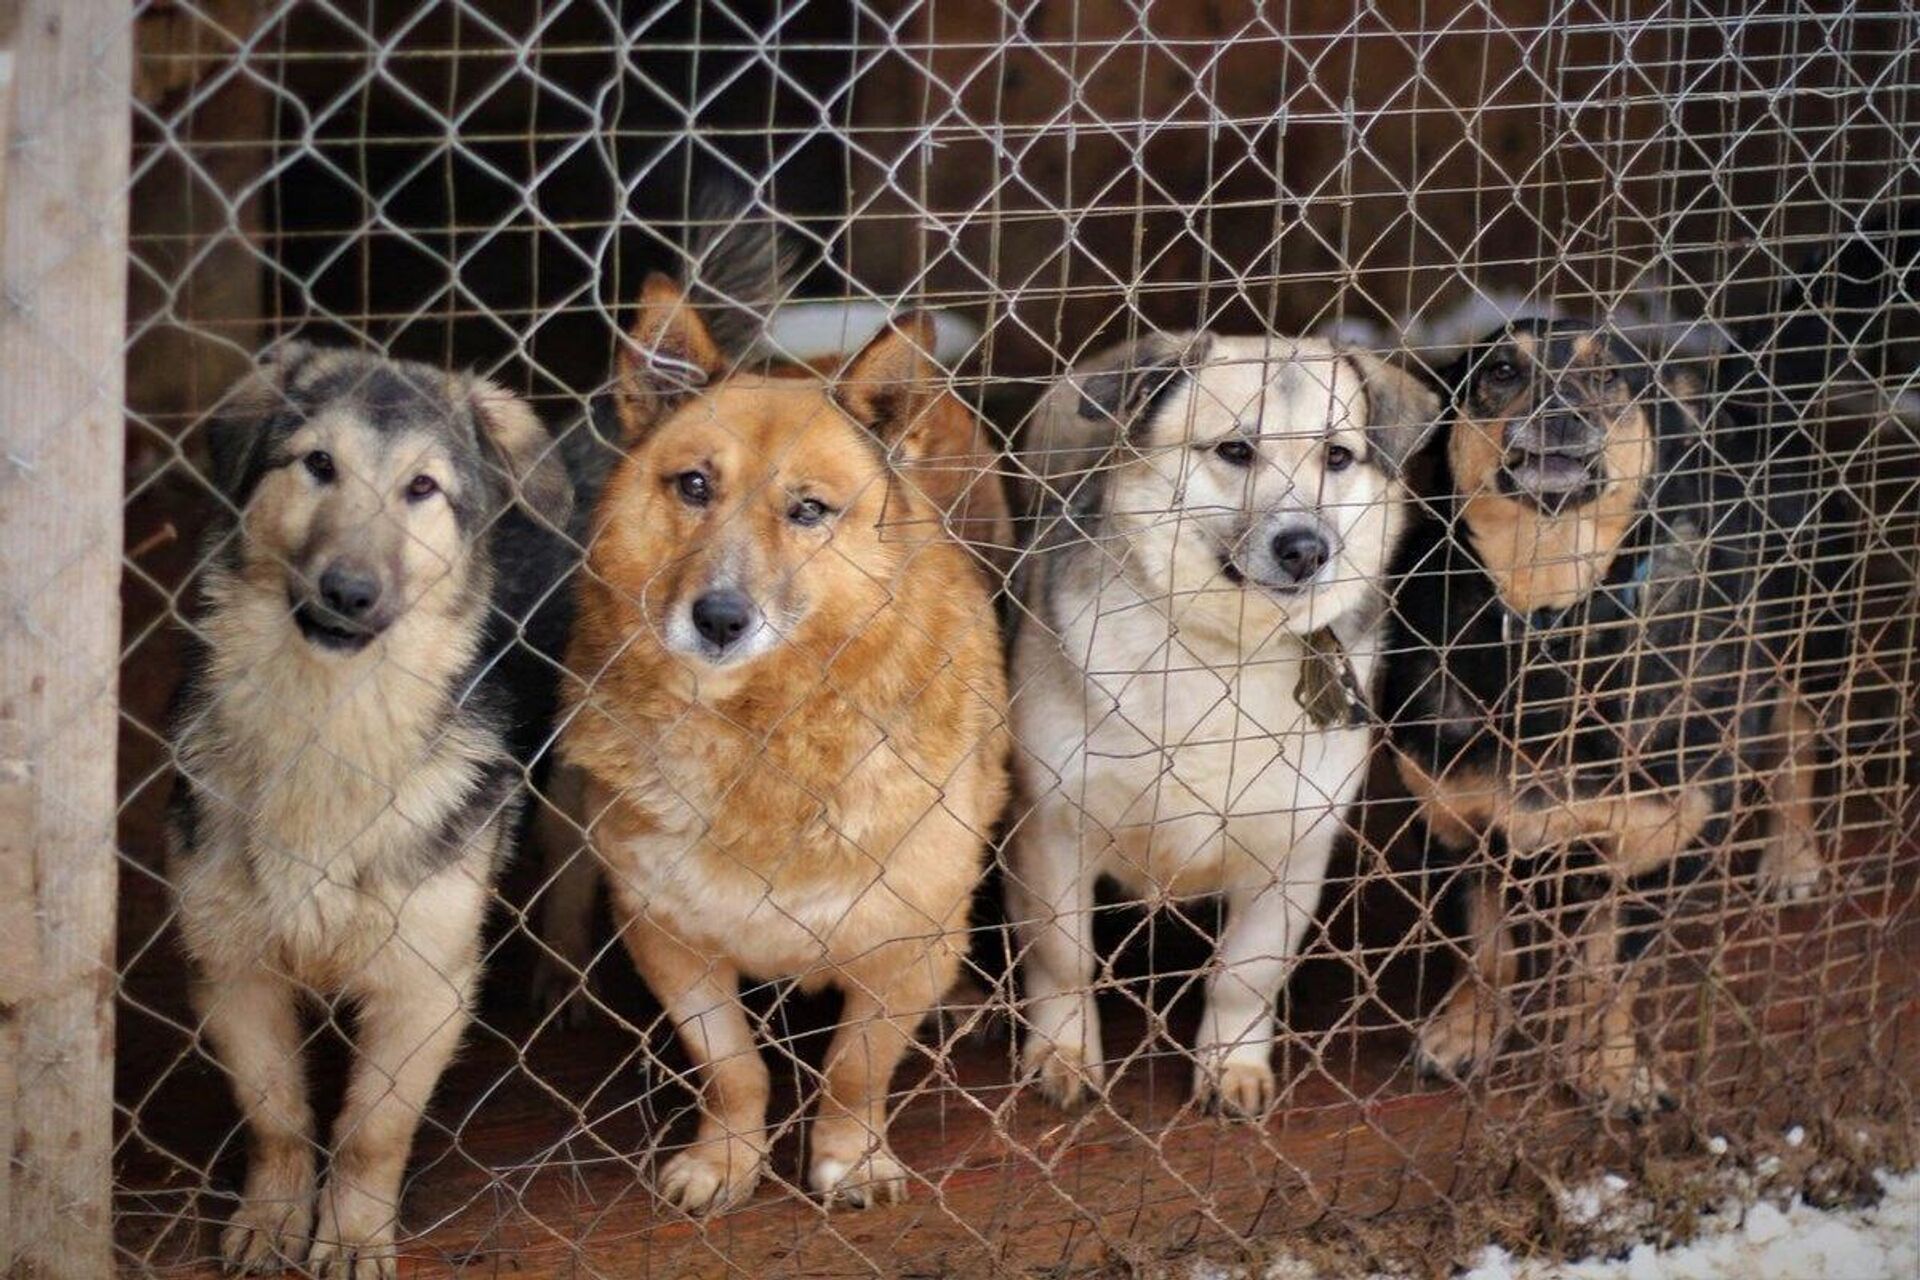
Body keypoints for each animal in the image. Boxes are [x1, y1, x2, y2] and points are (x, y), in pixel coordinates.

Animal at [168, 345, 572, 1274]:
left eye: (422, 487)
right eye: (318, 464)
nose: (348, 591)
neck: (330, 725)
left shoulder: (425, 984)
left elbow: (370, 1134)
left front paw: (350, 1237)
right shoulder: (231, 967)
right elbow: (278, 1118)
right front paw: (272, 1221)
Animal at [1006, 335, 1443, 1113]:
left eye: (1337, 457)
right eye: (1236, 450)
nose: (1306, 549)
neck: (1227, 651)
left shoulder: (1293, 851)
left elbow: (1247, 972)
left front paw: (1231, 1063)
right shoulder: (1054, 828)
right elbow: (1064, 956)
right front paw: (1064, 1050)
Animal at [1382, 322, 1843, 1120]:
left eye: (1610, 378)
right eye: (1502, 370)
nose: (1563, 411)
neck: (1548, 610)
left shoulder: (1656, 845)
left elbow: (1607, 973)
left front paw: (1606, 1067)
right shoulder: (1453, 825)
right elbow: (1488, 946)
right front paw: (1468, 1032)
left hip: (1812, 640)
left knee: (1796, 735)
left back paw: (1791, 854)